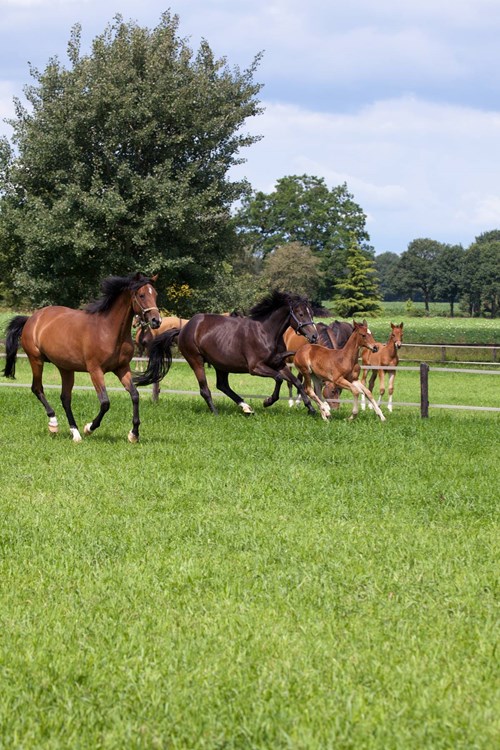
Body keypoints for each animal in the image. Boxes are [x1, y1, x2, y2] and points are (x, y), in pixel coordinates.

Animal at [2, 274, 161, 440]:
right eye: (142, 295)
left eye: (155, 294)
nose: (156, 321)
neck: (108, 330)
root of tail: (31, 319)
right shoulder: (95, 370)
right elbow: (105, 402)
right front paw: (89, 428)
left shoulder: (122, 368)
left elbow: (135, 395)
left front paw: (134, 434)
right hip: (36, 360)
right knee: (37, 388)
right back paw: (54, 424)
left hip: (65, 368)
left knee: (65, 398)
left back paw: (75, 432)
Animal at [135, 290, 318, 418]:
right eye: (301, 314)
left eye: (311, 313)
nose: (314, 336)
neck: (266, 333)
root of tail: (184, 329)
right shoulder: (256, 367)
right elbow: (279, 379)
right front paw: (268, 401)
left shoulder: (279, 364)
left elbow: (296, 382)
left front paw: (312, 409)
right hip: (196, 361)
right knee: (205, 389)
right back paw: (216, 412)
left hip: (221, 365)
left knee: (222, 385)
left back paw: (247, 408)